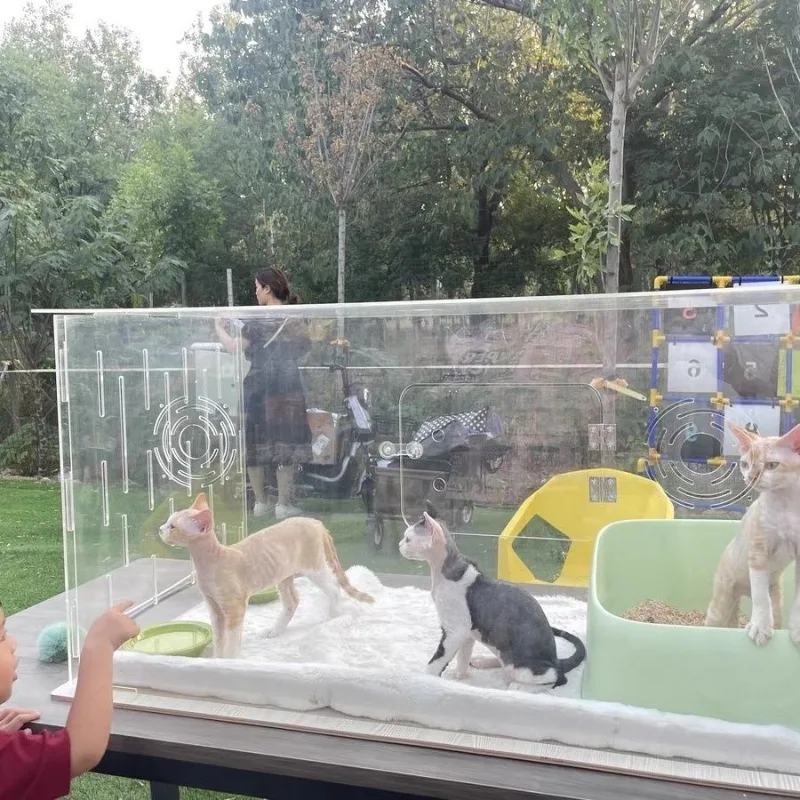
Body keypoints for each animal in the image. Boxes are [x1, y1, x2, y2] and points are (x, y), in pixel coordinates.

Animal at [159, 492, 375, 658]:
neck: (207, 564)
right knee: (293, 601)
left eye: (173, 527)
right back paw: (275, 630)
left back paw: (335, 614)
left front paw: (230, 660)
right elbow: (219, 639)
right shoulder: (214, 608)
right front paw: (217, 660)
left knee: (333, 587)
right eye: (168, 522)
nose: (160, 529)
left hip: (314, 568)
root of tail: (314, 521)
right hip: (283, 574)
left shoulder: (235, 607)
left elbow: (232, 639)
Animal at [399, 507, 586, 691]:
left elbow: (436, 661)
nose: (399, 545)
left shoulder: (455, 631)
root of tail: (556, 659)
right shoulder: (467, 633)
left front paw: (426, 680)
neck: (442, 572)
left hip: (525, 668)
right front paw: (460, 677)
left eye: (408, 539)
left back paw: (518, 687)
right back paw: (482, 661)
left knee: (556, 678)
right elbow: (462, 658)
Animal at [704, 422, 800, 646]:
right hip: (722, 598)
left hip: (775, 599)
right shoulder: (758, 551)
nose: (750, 477)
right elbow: (760, 596)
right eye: (745, 464)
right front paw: (760, 627)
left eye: (772, 465)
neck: (786, 503)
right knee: (714, 619)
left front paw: (797, 630)